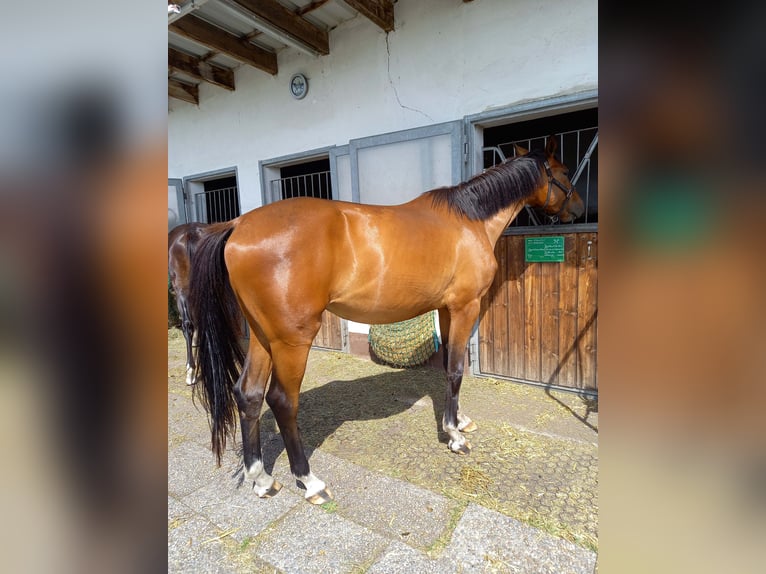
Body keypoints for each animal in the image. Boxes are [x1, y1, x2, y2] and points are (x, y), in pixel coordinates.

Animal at [187, 136, 584, 504]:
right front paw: (454, 437)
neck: (470, 220)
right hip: (291, 340)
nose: (580, 209)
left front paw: (457, 422)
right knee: (283, 401)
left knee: (249, 395)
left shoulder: (446, 308)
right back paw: (310, 481)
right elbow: (457, 369)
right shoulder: (465, 306)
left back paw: (261, 479)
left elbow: (449, 368)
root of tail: (238, 225)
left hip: (261, 336)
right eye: (565, 172)